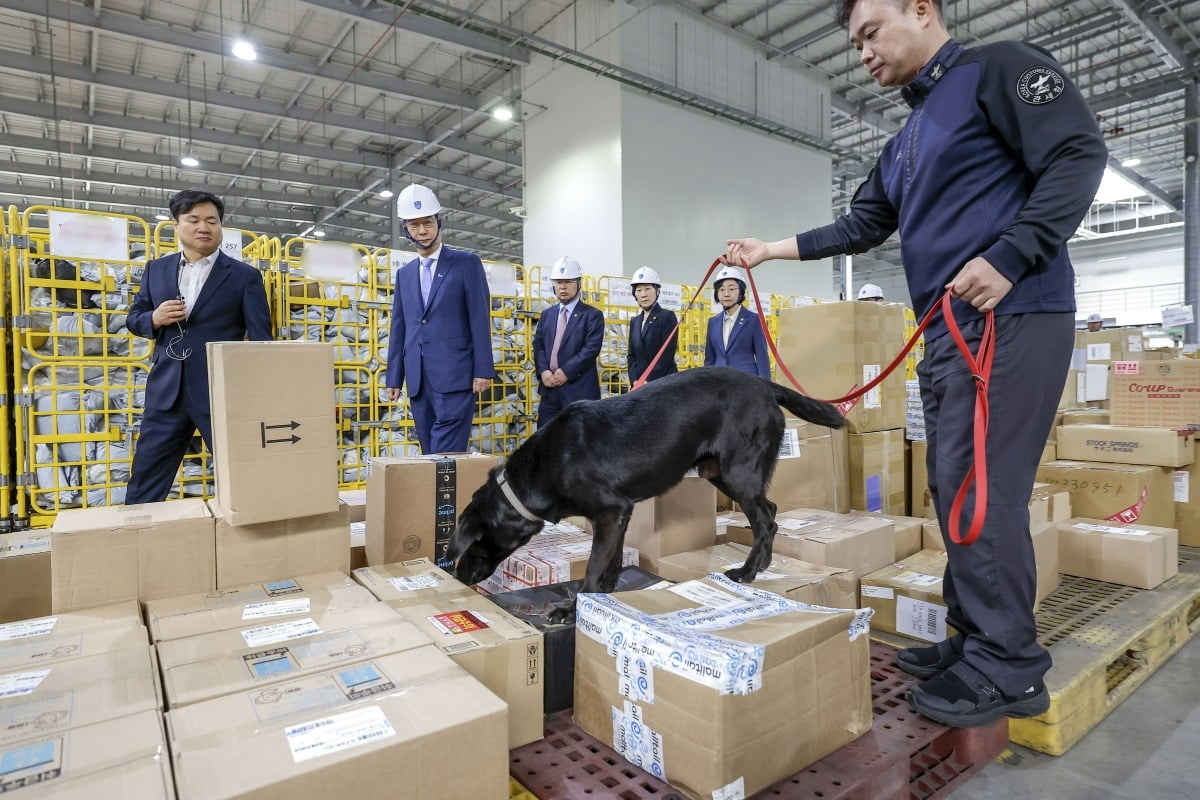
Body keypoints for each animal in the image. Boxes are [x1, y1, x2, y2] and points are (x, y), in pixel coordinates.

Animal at [446, 367, 849, 623]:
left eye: (472, 543)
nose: (458, 576)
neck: (540, 469)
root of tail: (765, 385)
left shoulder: (610, 511)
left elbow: (592, 567)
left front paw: (574, 606)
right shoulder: (620, 514)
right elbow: (611, 560)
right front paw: (609, 589)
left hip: (738, 471)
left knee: (764, 519)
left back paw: (747, 572)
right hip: (720, 473)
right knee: (771, 510)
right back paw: (762, 564)